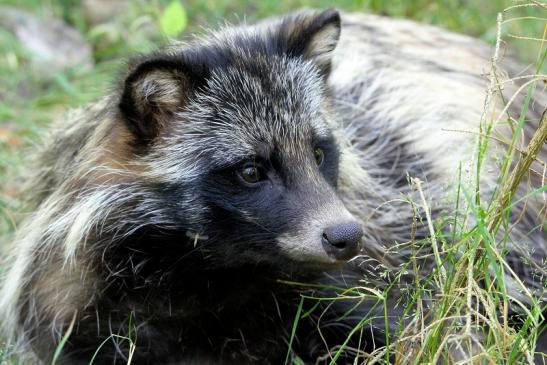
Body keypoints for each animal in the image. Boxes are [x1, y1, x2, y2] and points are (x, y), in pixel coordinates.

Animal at [0, 7, 544, 362]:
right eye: (250, 171)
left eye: (320, 153)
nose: (346, 236)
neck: (212, 277)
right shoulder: (85, 313)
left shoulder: (361, 276)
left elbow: (418, 328)